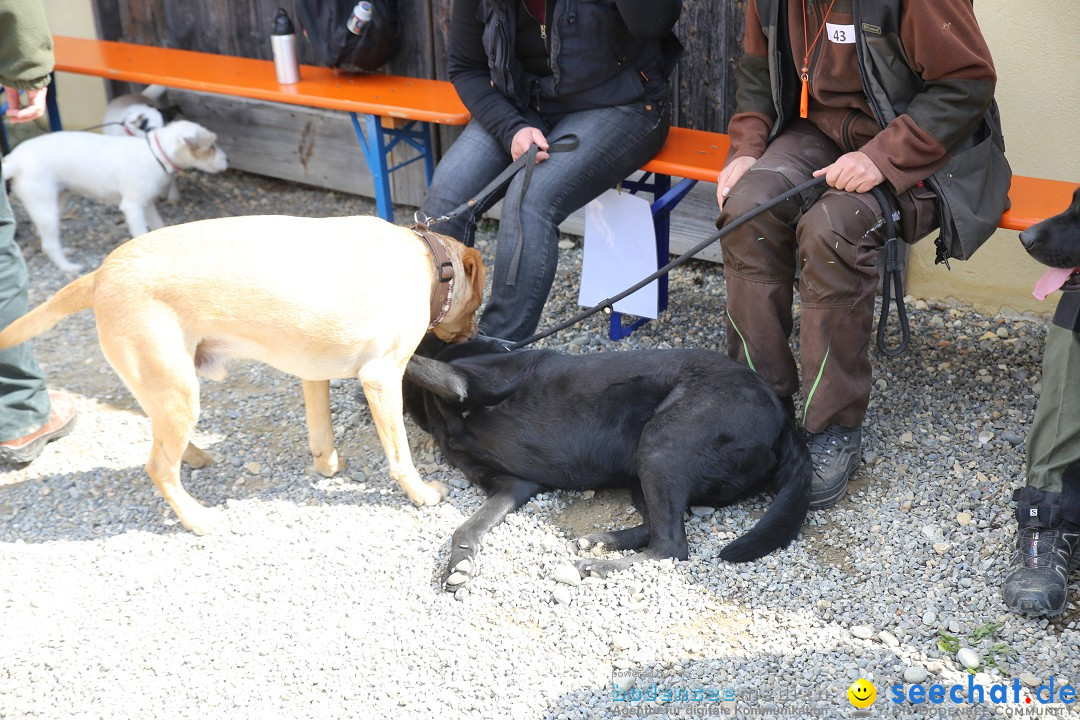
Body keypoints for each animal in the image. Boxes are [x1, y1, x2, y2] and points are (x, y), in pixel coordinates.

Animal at [0, 213, 486, 535]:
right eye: (478, 301)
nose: (476, 333)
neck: (429, 263)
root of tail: (101, 274)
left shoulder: (314, 373)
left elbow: (322, 434)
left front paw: (328, 467)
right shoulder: (381, 378)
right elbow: (400, 457)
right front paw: (421, 494)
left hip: (163, 387)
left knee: (164, 442)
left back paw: (195, 457)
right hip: (179, 392)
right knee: (157, 466)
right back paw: (197, 519)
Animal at [3, 120, 227, 273]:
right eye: (211, 147)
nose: (227, 159)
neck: (156, 154)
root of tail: (15, 160)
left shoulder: (148, 205)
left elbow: (157, 226)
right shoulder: (133, 207)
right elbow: (140, 233)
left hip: (57, 201)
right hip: (46, 208)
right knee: (49, 244)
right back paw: (68, 267)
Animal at [406, 334, 812, 587]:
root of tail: (784, 416)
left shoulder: (467, 382)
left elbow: (412, 359)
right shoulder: (511, 485)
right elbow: (466, 528)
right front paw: (460, 564)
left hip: (661, 444)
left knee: (671, 547)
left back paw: (597, 564)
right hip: (642, 470)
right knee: (655, 529)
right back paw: (598, 542)